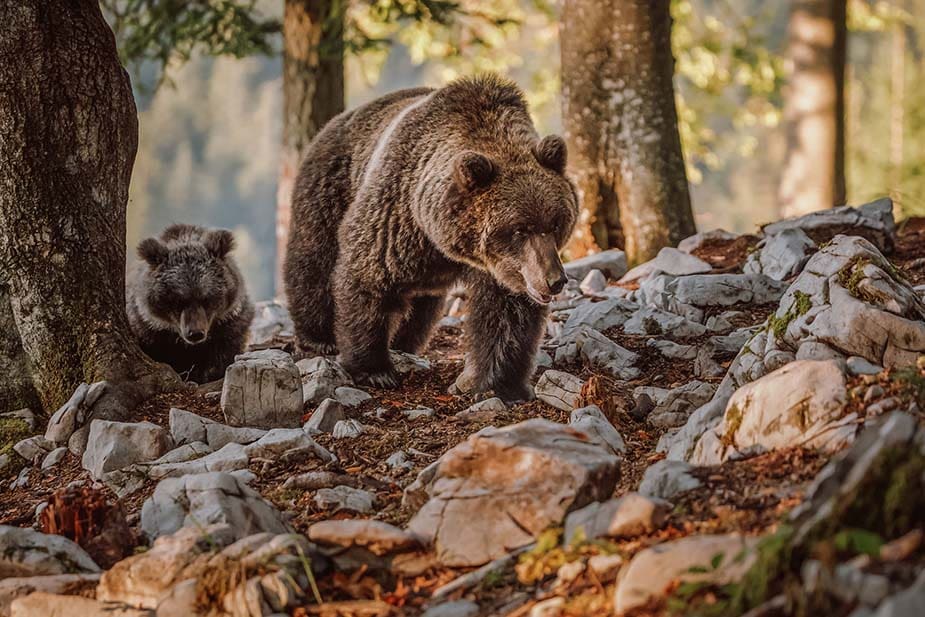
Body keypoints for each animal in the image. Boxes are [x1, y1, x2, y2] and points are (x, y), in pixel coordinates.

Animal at [286, 74, 576, 402]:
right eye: (519, 229)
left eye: (555, 223)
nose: (554, 280)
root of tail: (336, 121)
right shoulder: (395, 215)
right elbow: (367, 276)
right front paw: (374, 370)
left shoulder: (502, 268)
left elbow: (506, 316)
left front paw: (498, 383)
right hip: (330, 187)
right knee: (314, 262)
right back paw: (318, 337)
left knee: (420, 308)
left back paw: (403, 343)